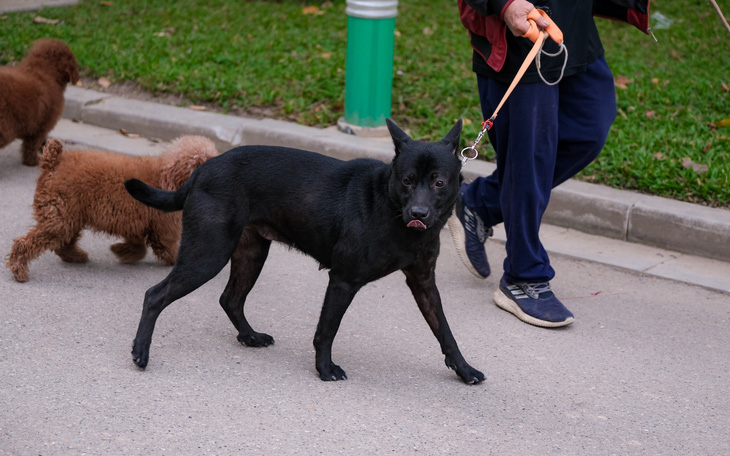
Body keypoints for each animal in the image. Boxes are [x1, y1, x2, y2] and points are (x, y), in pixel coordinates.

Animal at [5, 134, 218, 282]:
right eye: (199, 163)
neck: (167, 178)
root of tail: (54, 162)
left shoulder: (135, 223)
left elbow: (138, 246)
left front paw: (122, 251)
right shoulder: (162, 230)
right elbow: (165, 248)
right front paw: (173, 262)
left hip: (70, 216)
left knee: (64, 243)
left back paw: (75, 256)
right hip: (60, 217)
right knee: (26, 243)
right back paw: (19, 269)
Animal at [125, 119, 484, 382]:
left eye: (439, 182)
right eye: (407, 180)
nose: (418, 214)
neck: (389, 205)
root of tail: (202, 169)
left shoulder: (424, 284)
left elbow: (445, 332)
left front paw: (464, 370)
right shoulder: (343, 281)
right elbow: (326, 330)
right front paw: (325, 370)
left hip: (251, 253)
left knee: (230, 299)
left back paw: (250, 336)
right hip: (208, 254)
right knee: (154, 295)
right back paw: (141, 352)